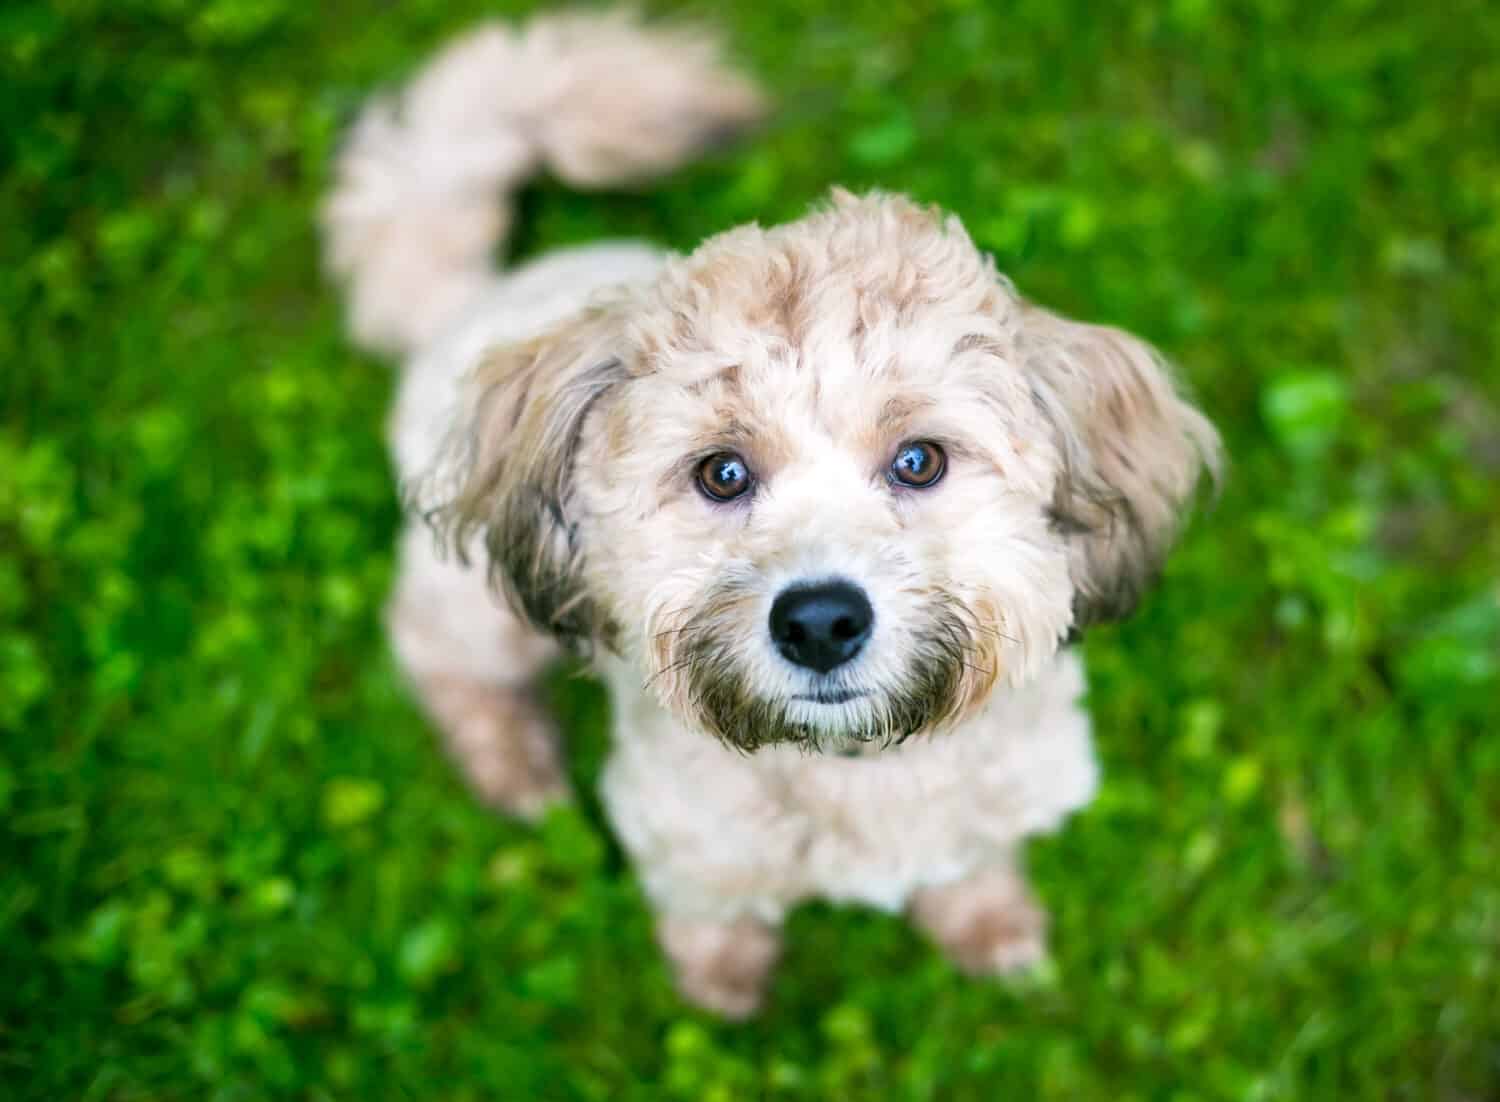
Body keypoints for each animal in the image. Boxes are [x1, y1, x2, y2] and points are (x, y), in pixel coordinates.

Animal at [325, 12, 1218, 1019]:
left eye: (920, 461)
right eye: (721, 473)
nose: (820, 623)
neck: (851, 762)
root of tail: (470, 302)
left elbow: (972, 863)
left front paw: (992, 927)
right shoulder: (680, 837)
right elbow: (710, 912)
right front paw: (721, 982)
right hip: (485, 607)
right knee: (435, 652)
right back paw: (513, 762)